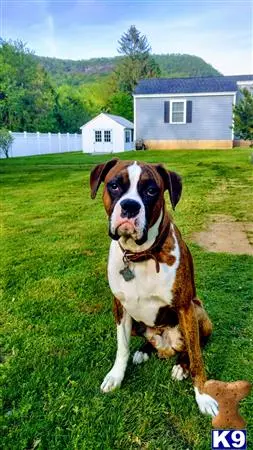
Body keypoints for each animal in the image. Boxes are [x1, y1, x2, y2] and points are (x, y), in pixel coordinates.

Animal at [90, 159, 218, 418]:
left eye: (151, 191)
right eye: (114, 186)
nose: (129, 206)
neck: (140, 255)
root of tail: (165, 346)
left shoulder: (185, 307)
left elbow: (197, 357)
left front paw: (202, 396)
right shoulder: (119, 306)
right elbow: (122, 347)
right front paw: (116, 376)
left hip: (198, 310)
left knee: (194, 345)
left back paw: (180, 366)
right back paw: (144, 350)